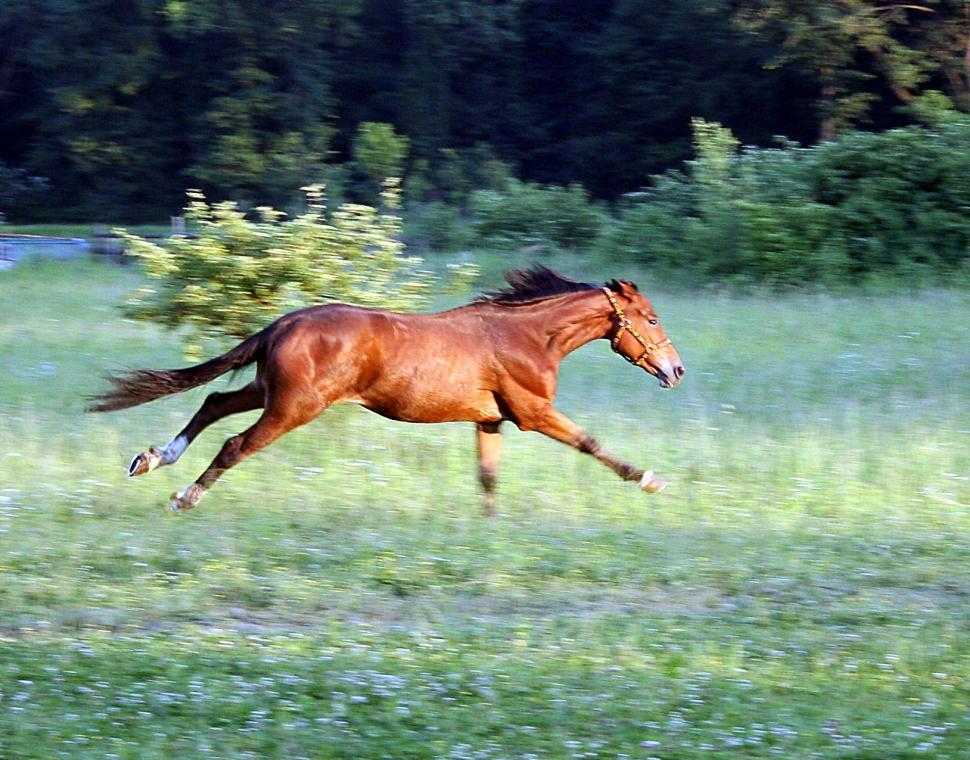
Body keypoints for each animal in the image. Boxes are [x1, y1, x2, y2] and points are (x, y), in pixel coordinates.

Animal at [88, 266, 685, 515]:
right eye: (652, 319)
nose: (676, 370)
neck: (526, 336)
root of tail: (282, 324)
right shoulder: (533, 412)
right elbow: (591, 444)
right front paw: (650, 479)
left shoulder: (489, 420)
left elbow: (487, 478)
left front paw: (489, 530)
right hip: (294, 407)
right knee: (235, 444)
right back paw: (183, 496)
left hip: (268, 391)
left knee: (212, 403)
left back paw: (151, 459)